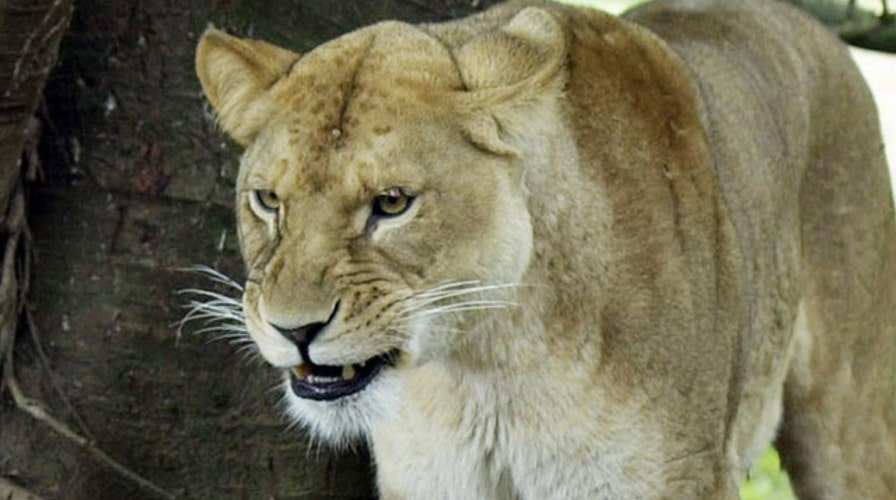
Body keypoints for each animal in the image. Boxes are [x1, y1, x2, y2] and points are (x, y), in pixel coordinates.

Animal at [194, 0, 896, 497]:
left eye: (392, 204)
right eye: (268, 201)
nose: (295, 330)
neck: (488, 368)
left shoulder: (682, 475)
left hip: (849, 429)